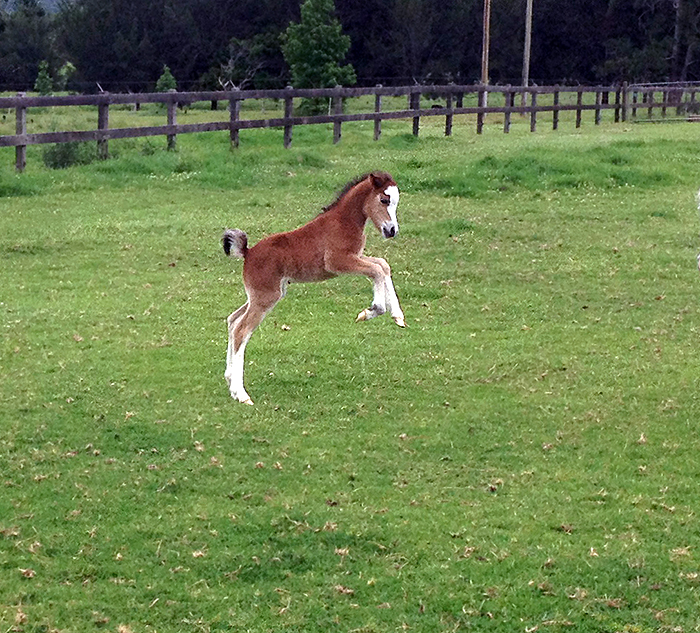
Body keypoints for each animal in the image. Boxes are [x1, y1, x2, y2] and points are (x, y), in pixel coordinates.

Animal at [221, 171, 405, 405]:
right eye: (384, 200)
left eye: (396, 202)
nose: (391, 231)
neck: (342, 221)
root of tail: (248, 252)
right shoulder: (338, 262)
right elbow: (377, 270)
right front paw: (371, 311)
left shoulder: (356, 257)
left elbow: (383, 264)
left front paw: (398, 316)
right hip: (266, 297)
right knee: (241, 331)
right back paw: (241, 394)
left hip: (261, 295)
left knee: (232, 320)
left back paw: (230, 380)